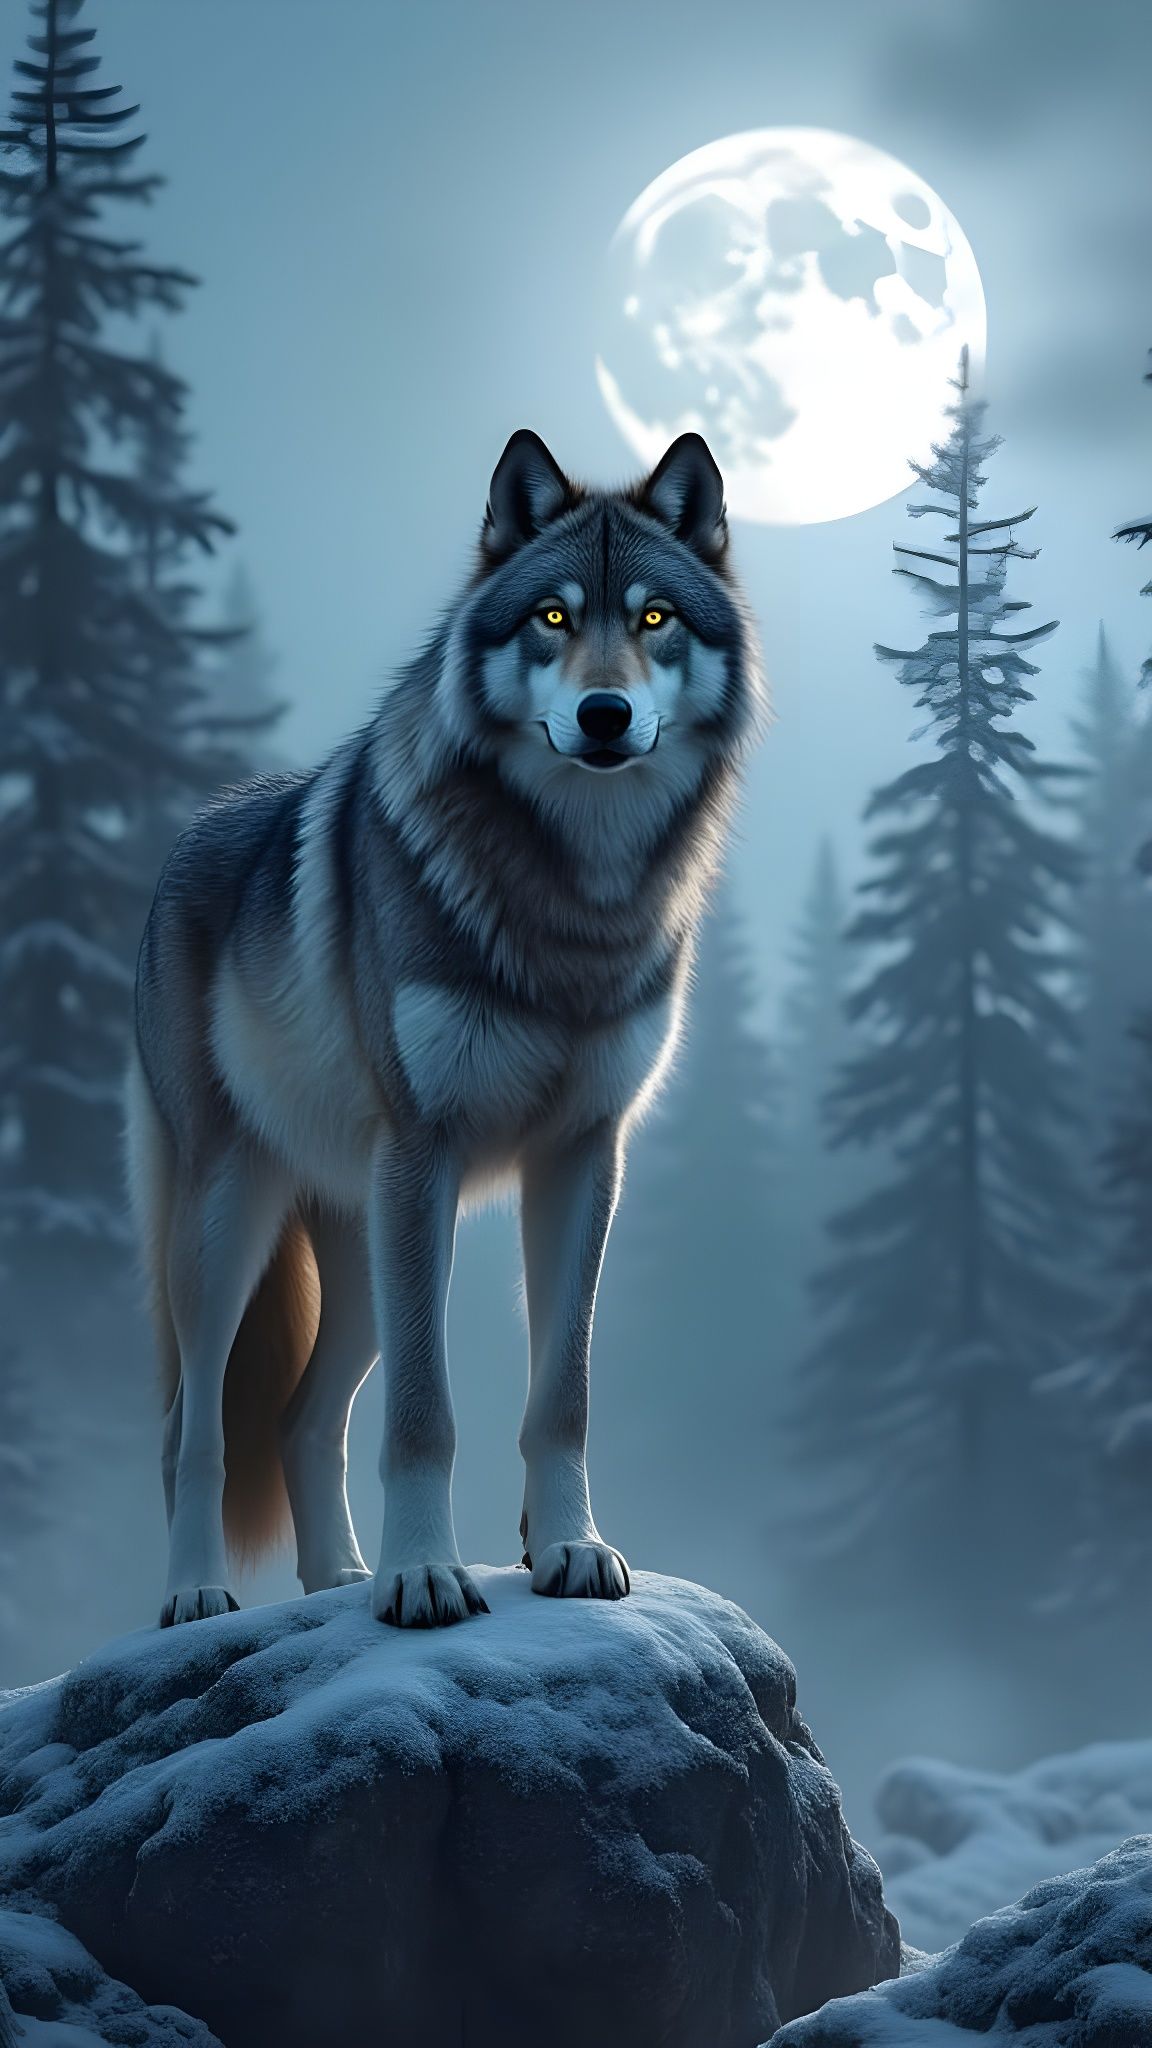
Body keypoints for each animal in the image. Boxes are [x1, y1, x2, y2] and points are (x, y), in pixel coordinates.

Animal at [127, 428, 765, 1630]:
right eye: (553, 617)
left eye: (654, 617)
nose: (604, 715)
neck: (574, 904)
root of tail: (183, 838)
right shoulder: (425, 1155)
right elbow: (424, 1413)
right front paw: (423, 1575)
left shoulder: (582, 1159)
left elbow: (562, 1396)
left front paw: (568, 1549)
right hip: (236, 1225)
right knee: (194, 1421)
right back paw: (196, 1594)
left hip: (364, 1251)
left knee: (302, 1417)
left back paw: (336, 1579)